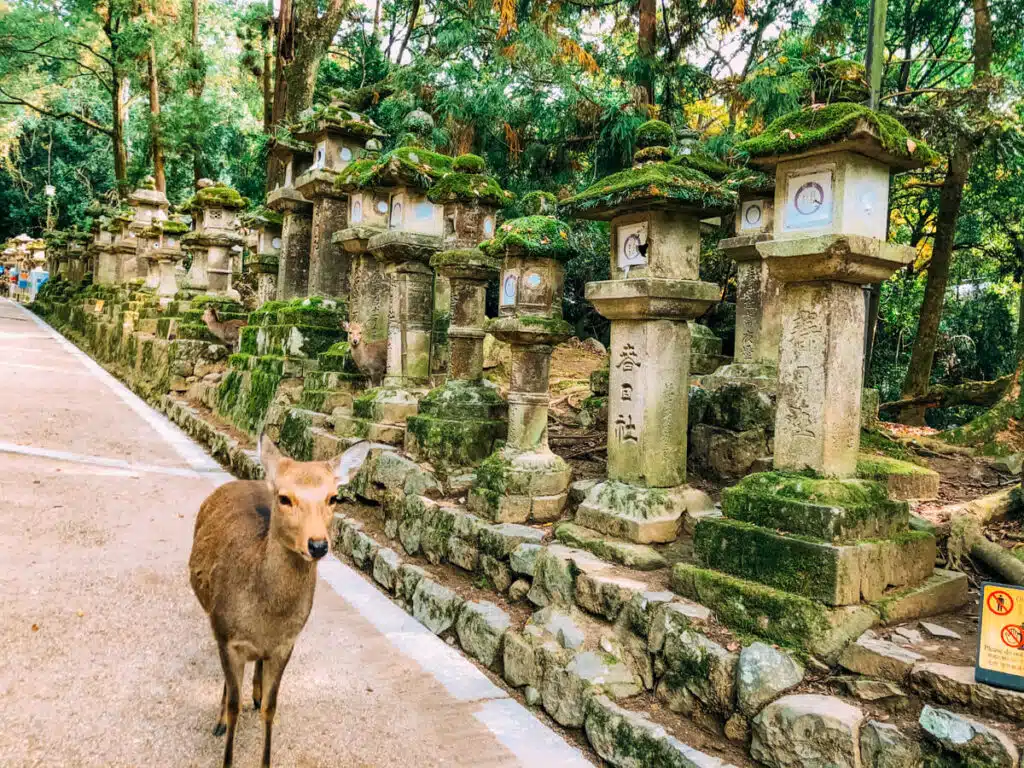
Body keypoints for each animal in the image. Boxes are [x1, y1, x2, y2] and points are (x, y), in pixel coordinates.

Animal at [189, 437, 382, 768]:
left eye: (333, 498)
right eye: (284, 498)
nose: (318, 545)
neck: (264, 619)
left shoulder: (286, 643)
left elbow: (271, 707)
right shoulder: (227, 636)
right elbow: (234, 706)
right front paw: (225, 741)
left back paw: (254, 693)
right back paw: (221, 720)